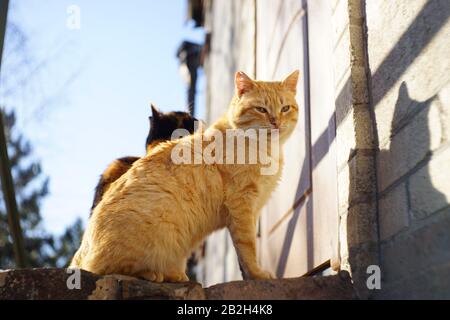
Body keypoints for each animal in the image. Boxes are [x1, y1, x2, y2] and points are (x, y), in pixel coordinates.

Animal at [71, 70, 298, 282]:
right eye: (261, 109)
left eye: (285, 108)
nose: (276, 122)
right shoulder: (242, 206)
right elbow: (248, 248)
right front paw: (258, 274)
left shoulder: (253, 208)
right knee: (110, 269)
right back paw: (154, 274)